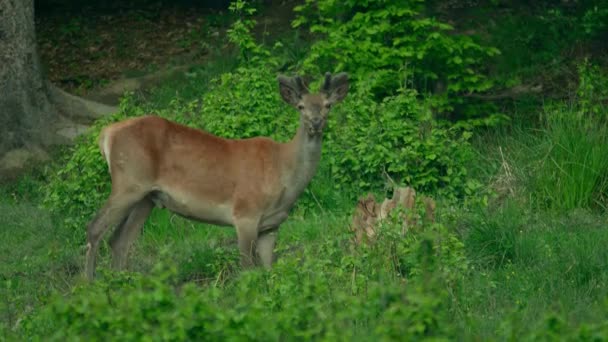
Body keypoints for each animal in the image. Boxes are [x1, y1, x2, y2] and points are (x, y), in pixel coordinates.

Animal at [83, 72, 350, 280]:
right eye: (301, 106)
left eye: (328, 105)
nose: (316, 122)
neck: (284, 176)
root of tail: (106, 134)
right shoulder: (245, 213)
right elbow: (247, 269)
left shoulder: (272, 224)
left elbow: (267, 269)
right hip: (128, 182)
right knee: (95, 228)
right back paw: (89, 285)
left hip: (146, 197)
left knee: (119, 240)